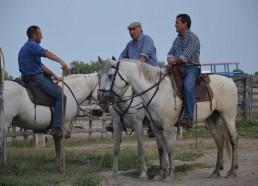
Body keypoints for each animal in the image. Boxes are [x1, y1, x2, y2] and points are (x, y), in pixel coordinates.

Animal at [97, 59, 240, 182]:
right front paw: (160, 174)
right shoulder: (154, 126)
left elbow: (169, 148)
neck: (157, 92)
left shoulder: (166, 126)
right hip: (212, 118)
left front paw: (169, 175)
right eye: (98, 76)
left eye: (110, 75)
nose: (103, 97)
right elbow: (161, 148)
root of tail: (230, 81)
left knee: (233, 139)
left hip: (228, 116)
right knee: (219, 141)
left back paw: (232, 171)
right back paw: (216, 172)